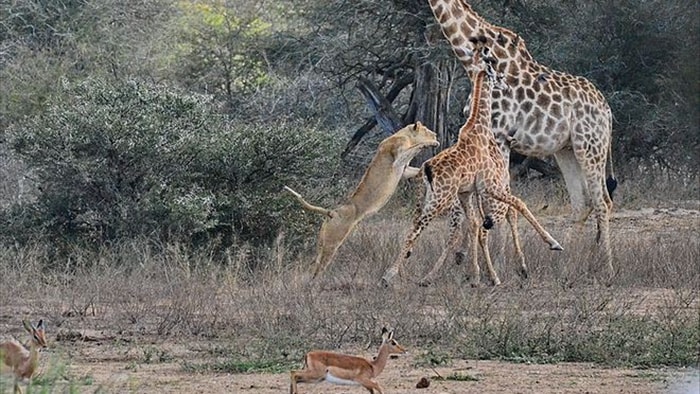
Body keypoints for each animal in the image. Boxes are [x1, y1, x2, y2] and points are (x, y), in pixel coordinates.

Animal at [424, 0, 616, 278]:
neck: (469, 61)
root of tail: (607, 110)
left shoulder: (500, 137)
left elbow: (498, 205)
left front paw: (500, 265)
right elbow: (488, 204)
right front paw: (482, 264)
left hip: (591, 146)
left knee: (603, 201)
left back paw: (608, 268)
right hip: (567, 150)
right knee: (583, 202)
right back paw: (566, 267)